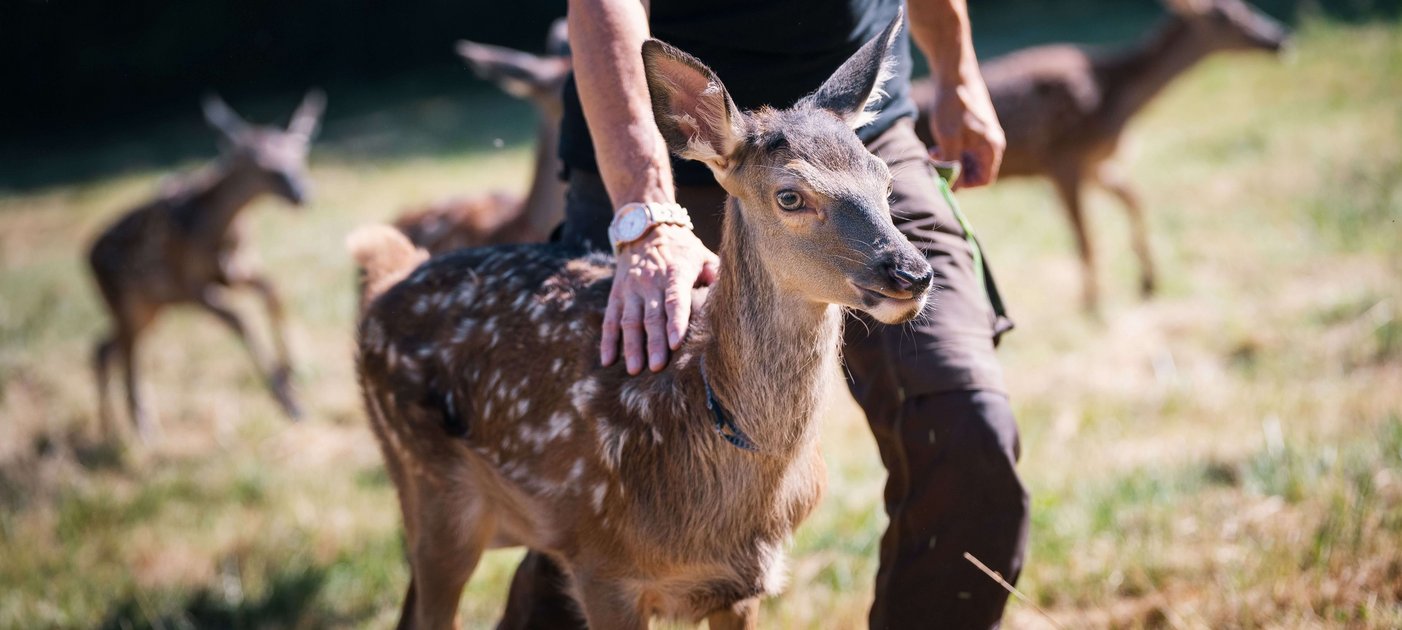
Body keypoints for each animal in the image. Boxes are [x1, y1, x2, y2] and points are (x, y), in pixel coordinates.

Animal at [89, 91, 323, 440]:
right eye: (264, 167)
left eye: (299, 156)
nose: (302, 194)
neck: (220, 230)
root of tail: (87, 256)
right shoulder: (189, 284)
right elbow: (239, 320)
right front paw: (289, 403)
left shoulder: (235, 271)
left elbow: (272, 289)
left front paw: (291, 371)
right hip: (126, 301)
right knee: (126, 352)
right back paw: (143, 428)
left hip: (150, 308)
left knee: (103, 348)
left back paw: (108, 430)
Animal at [914, 0, 1284, 311]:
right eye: (1223, 18)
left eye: (1247, 6)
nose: (1277, 39)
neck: (1116, 96)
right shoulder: (1065, 158)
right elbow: (1086, 239)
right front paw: (1092, 305)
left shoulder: (1095, 163)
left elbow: (1134, 199)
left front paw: (1148, 283)